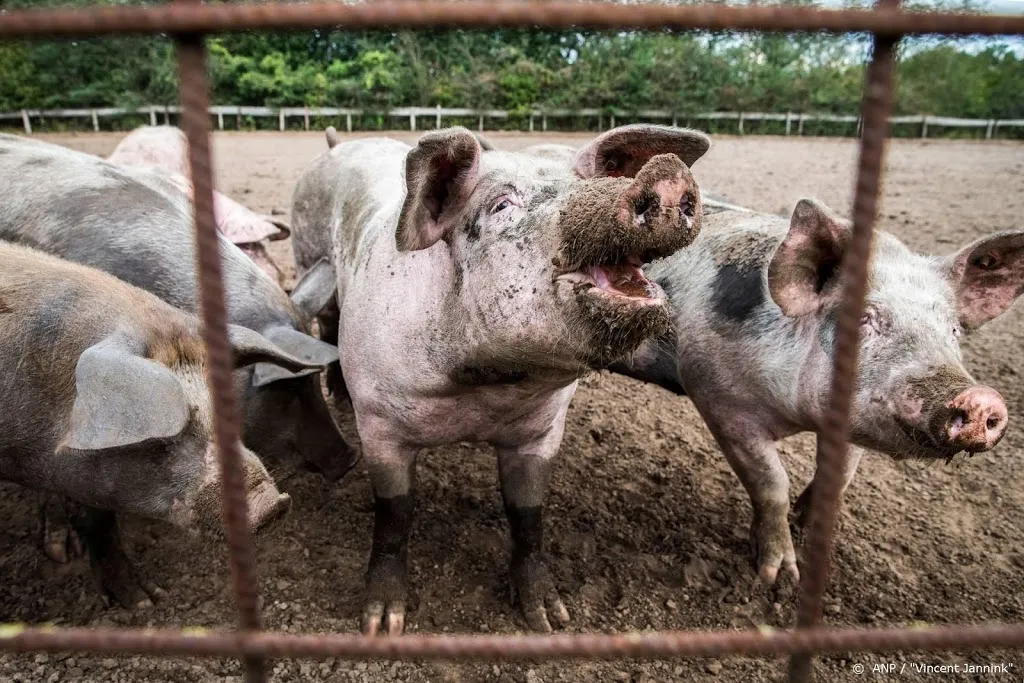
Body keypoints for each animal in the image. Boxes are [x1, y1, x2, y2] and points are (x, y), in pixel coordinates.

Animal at [0, 242, 315, 606]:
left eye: (229, 414)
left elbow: (100, 524)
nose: (272, 505)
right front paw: (141, 603)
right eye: (161, 438)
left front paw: (147, 599)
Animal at [292, 124, 712, 634]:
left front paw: (550, 620)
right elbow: (394, 514)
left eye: (590, 181)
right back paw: (337, 395)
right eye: (501, 205)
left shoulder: (542, 430)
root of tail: (338, 147)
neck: (485, 390)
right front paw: (381, 624)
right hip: (309, 257)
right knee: (327, 322)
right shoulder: (379, 424)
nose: (667, 171)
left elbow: (527, 515)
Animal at [610, 196, 1019, 581]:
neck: (799, 417)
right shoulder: (718, 396)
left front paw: (808, 528)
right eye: (865, 319)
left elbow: (838, 478)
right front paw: (778, 576)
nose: (982, 399)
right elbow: (772, 482)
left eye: (953, 330)